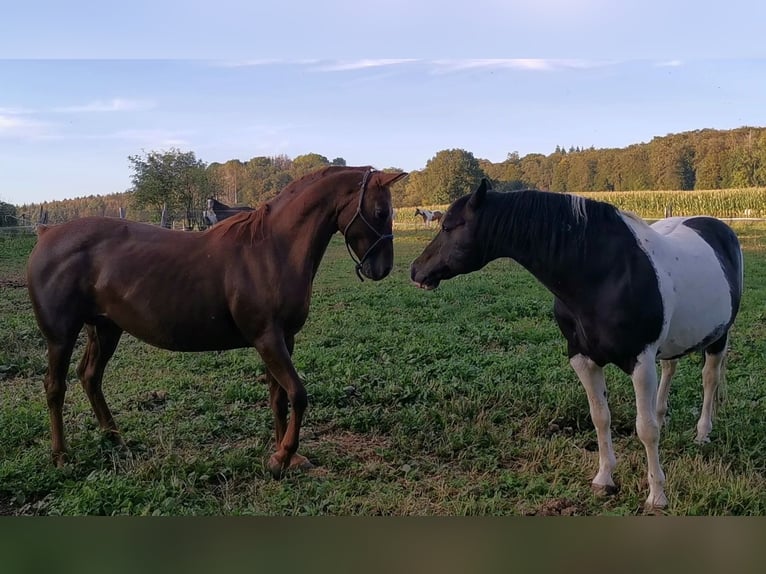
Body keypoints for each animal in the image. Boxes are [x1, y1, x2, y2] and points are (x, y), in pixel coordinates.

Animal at [25, 165, 408, 476]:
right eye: (379, 211)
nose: (382, 268)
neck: (273, 250)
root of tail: (47, 233)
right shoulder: (267, 338)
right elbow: (298, 394)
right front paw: (283, 455)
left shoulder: (283, 339)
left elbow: (278, 397)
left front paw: (283, 455)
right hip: (61, 337)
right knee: (55, 387)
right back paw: (61, 455)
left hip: (105, 328)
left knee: (90, 377)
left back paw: (116, 438)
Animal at [412, 180, 748, 512]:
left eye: (448, 226)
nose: (416, 270)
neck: (605, 274)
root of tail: (718, 227)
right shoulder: (583, 359)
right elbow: (601, 417)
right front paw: (604, 479)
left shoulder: (640, 361)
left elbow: (646, 429)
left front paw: (657, 495)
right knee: (670, 367)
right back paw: (662, 411)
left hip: (718, 337)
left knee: (709, 379)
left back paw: (702, 433)